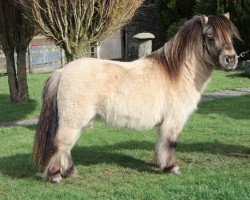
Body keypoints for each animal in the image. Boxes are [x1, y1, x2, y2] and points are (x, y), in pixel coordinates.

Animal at [33, 13, 240, 183]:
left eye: (230, 36)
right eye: (210, 36)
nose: (231, 59)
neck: (176, 72)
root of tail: (61, 71)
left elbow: (161, 143)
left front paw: (160, 164)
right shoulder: (175, 119)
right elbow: (170, 143)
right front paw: (172, 167)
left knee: (66, 147)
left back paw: (71, 173)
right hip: (72, 120)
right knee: (60, 145)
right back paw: (55, 176)